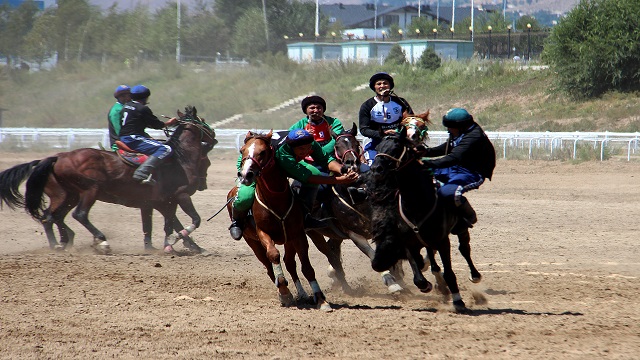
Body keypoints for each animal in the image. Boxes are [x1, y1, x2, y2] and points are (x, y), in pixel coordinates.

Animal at [0, 105, 216, 255]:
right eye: (203, 121)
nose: (214, 137)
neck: (179, 159)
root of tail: (56, 158)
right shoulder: (179, 195)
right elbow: (192, 220)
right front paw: (175, 242)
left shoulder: (159, 202)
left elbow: (163, 224)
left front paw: (176, 245)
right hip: (88, 191)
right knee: (77, 215)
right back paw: (99, 241)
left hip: (66, 196)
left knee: (50, 217)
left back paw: (59, 243)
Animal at [226, 131, 336, 310]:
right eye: (242, 150)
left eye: (263, 152)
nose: (245, 175)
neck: (276, 200)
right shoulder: (262, 233)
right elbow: (273, 255)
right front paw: (284, 292)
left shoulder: (297, 234)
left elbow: (307, 268)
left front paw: (320, 299)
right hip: (252, 242)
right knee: (269, 266)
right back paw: (285, 292)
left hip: (288, 240)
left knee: (290, 263)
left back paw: (302, 293)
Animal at [364, 127, 476, 312]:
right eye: (378, 147)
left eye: (396, 148)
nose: (375, 169)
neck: (417, 203)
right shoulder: (408, 243)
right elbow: (418, 275)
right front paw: (427, 285)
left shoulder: (443, 241)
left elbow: (449, 272)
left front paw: (458, 301)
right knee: (432, 260)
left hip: (460, 228)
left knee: (465, 249)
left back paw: (474, 275)